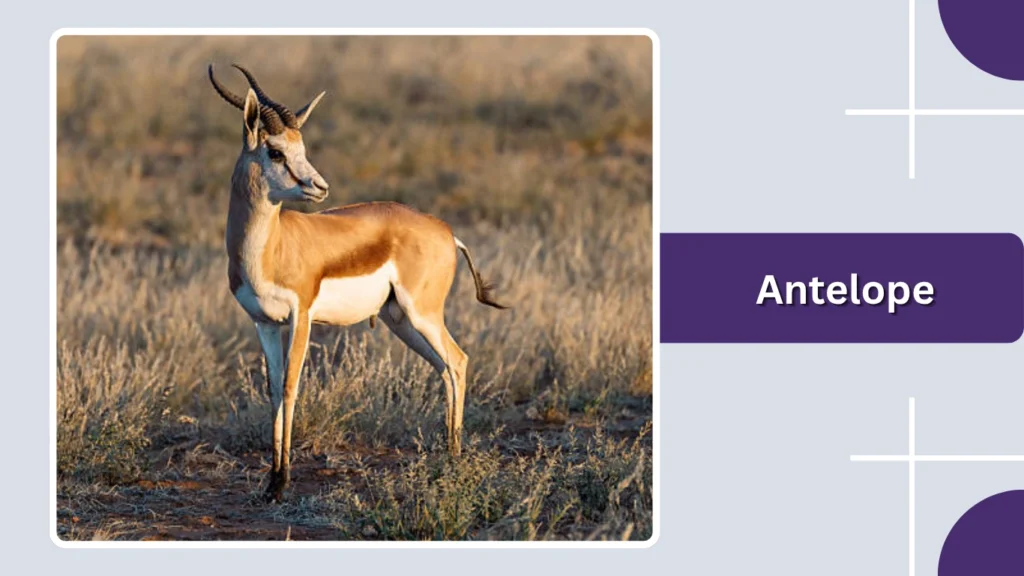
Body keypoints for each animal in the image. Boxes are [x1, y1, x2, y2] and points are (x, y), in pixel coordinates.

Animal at [208, 64, 507, 502]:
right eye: (275, 151)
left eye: (301, 147)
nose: (319, 187)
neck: (270, 247)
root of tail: (446, 232)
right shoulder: (263, 323)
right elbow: (273, 389)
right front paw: (270, 482)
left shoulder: (302, 318)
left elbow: (291, 386)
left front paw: (282, 483)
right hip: (400, 321)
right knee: (445, 367)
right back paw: (448, 456)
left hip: (423, 314)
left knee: (457, 360)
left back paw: (454, 460)